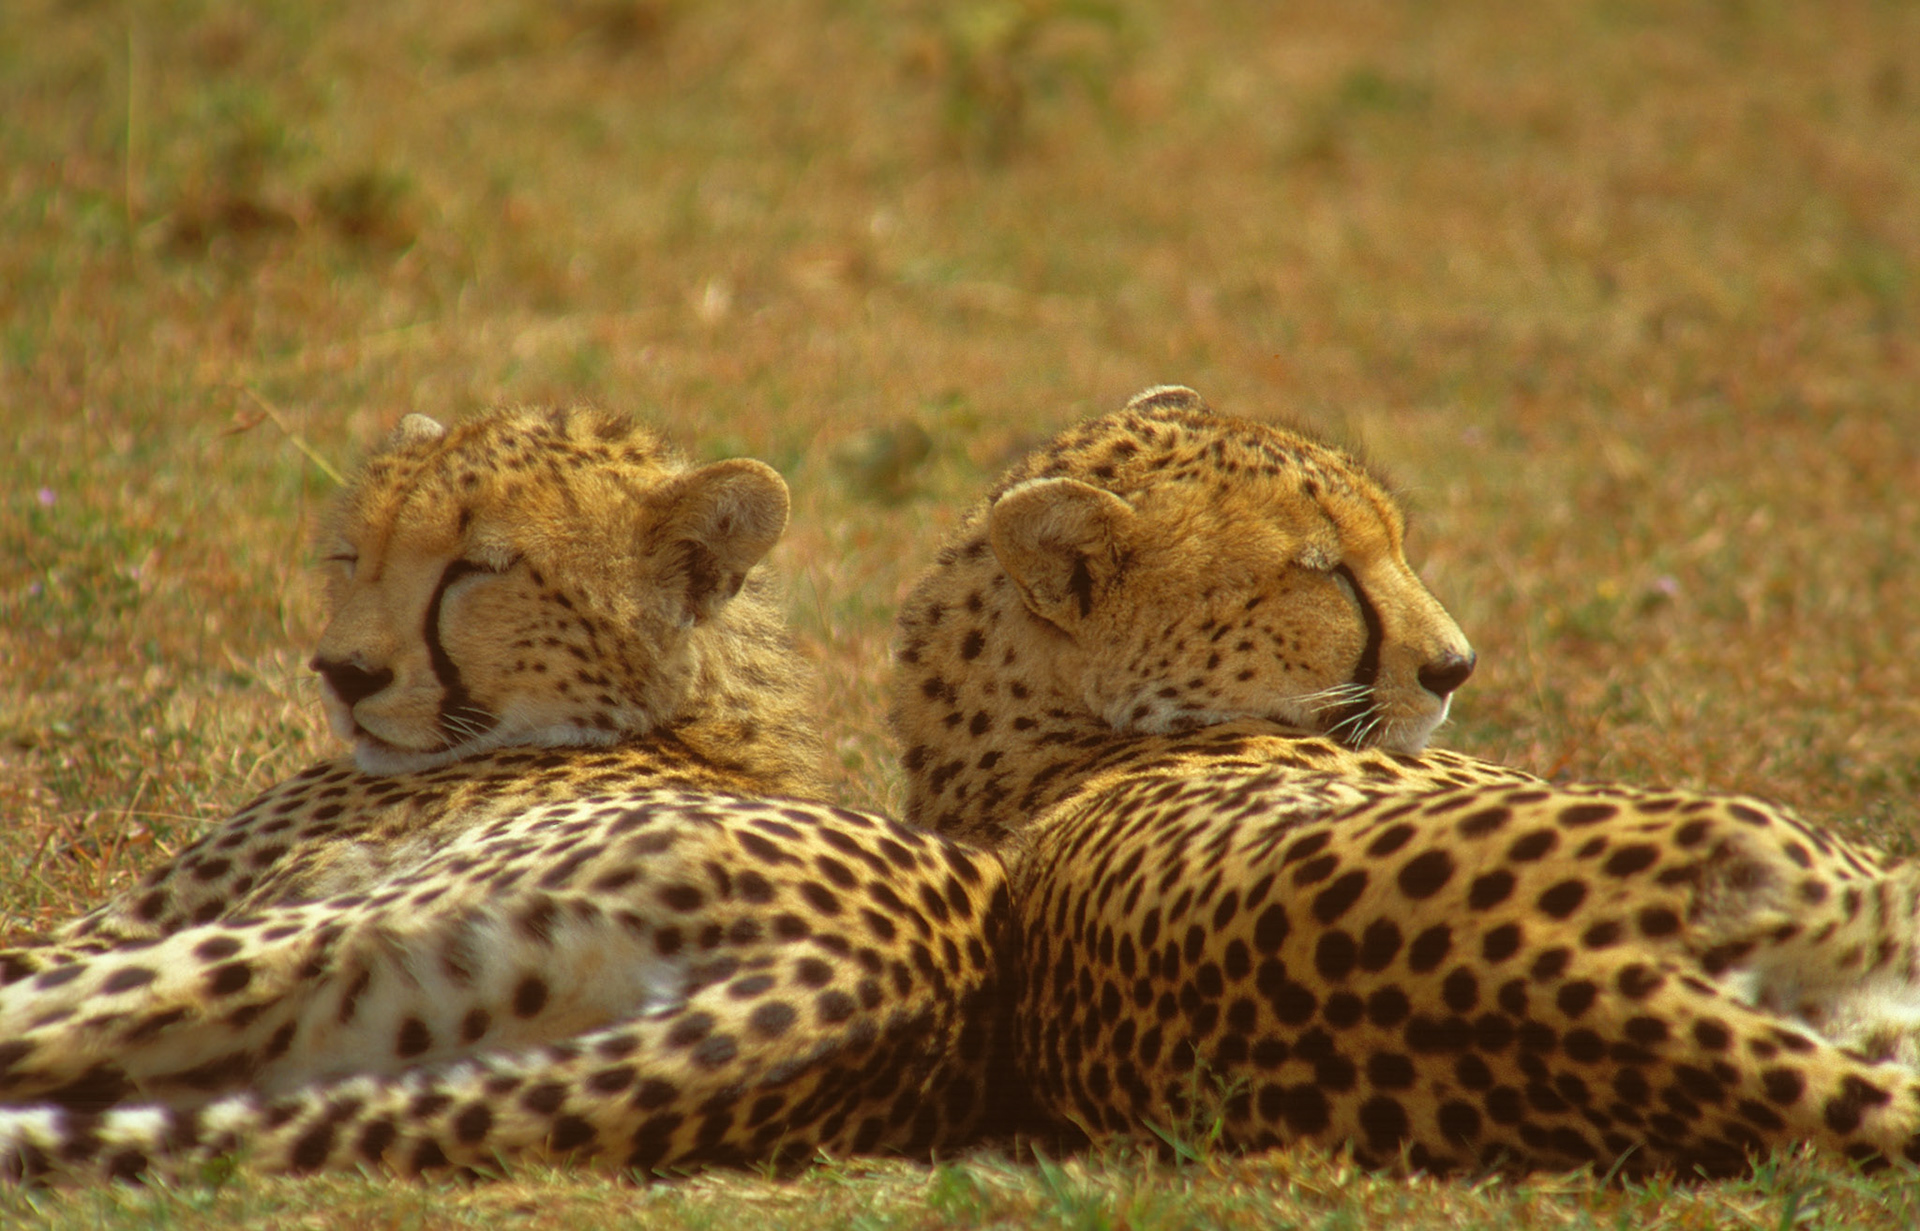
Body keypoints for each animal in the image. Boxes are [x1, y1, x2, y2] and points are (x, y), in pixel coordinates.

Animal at [0, 405, 1015, 1182]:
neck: (685, 716)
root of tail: (886, 976)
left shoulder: (134, 919)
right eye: (351, 557)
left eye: (475, 570)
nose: (343, 673)